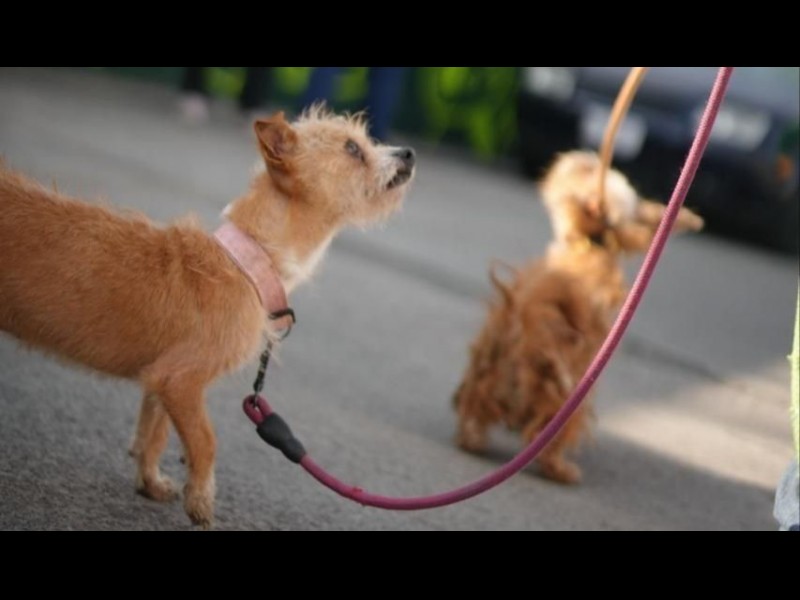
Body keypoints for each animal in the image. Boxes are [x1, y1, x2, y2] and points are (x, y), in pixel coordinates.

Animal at [0, 108, 416, 527]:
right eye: (352, 149)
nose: (409, 153)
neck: (250, 262)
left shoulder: (160, 378)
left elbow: (154, 432)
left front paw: (150, 481)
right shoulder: (180, 380)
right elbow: (205, 441)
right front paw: (201, 502)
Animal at [453, 151, 702, 484]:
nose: (584, 158)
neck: (590, 246)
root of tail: (527, 322)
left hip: (490, 364)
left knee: (475, 407)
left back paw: (473, 438)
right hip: (566, 398)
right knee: (547, 436)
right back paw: (560, 469)